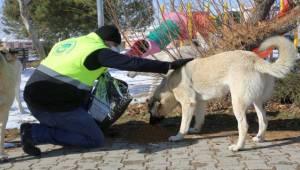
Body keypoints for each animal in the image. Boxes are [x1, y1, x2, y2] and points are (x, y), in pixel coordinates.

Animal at [149, 36, 298, 151]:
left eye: (151, 113)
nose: (150, 124)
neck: (169, 84)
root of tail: (255, 59)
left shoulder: (188, 104)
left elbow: (183, 126)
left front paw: (178, 137)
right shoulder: (200, 103)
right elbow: (199, 119)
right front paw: (196, 130)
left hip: (237, 103)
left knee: (244, 126)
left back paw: (238, 147)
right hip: (257, 102)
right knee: (264, 121)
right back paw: (259, 138)